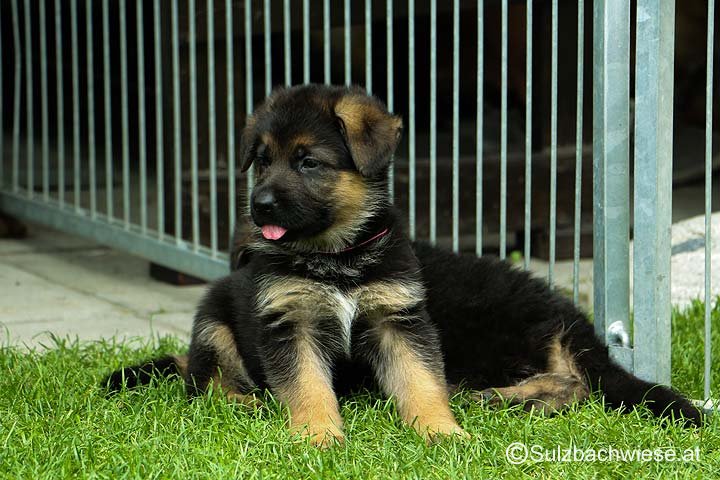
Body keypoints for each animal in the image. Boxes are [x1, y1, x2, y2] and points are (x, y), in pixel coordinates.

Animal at [106, 84, 702, 447]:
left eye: (308, 162)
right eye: (262, 161)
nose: (259, 208)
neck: (338, 257)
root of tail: (568, 316)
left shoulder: (400, 317)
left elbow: (419, 380)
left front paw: (442, 434)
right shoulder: (288, 321)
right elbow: (306, 383)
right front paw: (318, 436)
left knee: (576, 384)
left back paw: (494, 401)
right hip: (214, 315)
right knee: (203, 379)